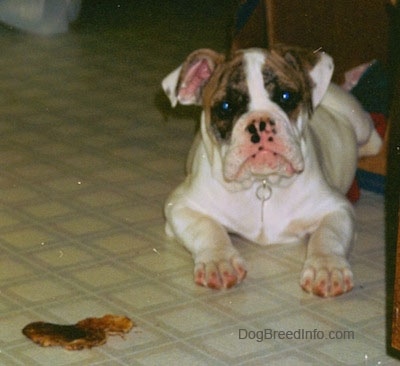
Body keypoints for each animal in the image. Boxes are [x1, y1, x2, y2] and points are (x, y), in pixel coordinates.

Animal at [162, 45, 382, 298]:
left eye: (286, 97)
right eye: (225, 107)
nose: (259, 124)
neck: (263, 183)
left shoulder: (338, 209)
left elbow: (327, 237)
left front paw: (326, 268)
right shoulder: (180, 206)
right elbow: (207, 228)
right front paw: (219, 261)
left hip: (358, 120)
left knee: (373, 136)